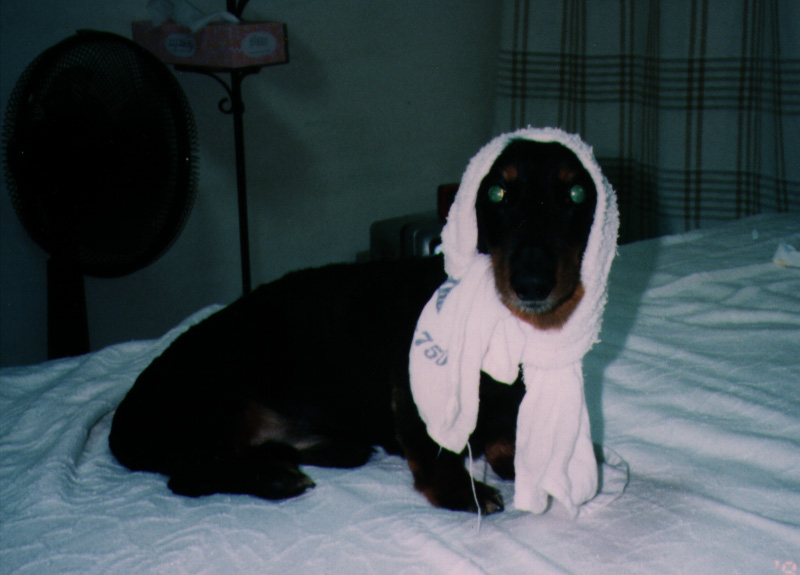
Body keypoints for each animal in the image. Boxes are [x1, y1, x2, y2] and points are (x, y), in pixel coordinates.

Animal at [109, 139, 598, 514]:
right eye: (497, 193)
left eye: (576, 194)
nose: (531, 283)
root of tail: (123, 422)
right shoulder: (414, 387)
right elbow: (436, 449)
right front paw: (460, 490)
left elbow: (508, 434)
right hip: (214, 402)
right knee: (190, 477)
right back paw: (276, 480)